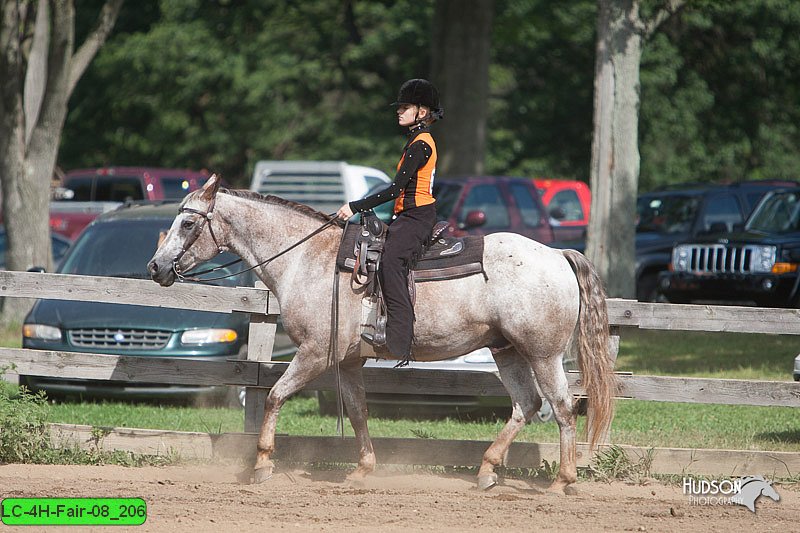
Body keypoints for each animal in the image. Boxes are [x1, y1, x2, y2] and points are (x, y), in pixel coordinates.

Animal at [147, 176, 616, 494]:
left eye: (187, 224)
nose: (155, 267)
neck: (307, 258)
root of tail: (557, 254)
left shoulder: (315, 353)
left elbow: (275, 395)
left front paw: (262, 464)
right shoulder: (348, 360)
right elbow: (357, 412)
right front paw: (362, 469)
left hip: (543, 354)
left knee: (561, 407)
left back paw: (562, 480)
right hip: (507, 351)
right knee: (526, 404)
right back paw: (486, 470)